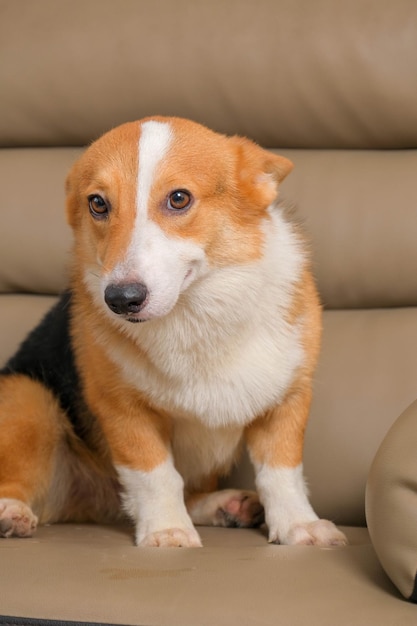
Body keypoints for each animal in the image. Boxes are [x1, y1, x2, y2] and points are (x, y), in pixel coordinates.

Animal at [0, 117, 344, 544]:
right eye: (98, 203)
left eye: (179, 198)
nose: (121, 299)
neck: (197, 311)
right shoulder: (123, 409)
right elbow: (156, 474)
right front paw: (167, 531)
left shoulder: (288, 397)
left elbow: (282, 473)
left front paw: (299, 525)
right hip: (28, 399)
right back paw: (11, 513)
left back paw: (225, 505)